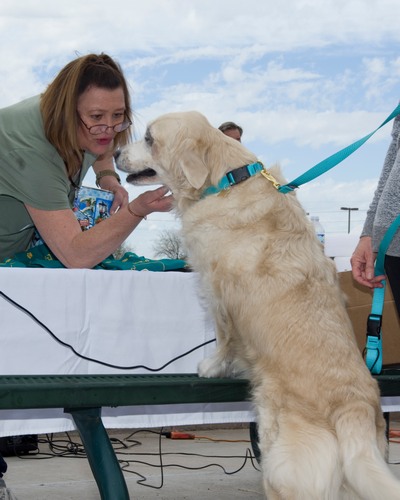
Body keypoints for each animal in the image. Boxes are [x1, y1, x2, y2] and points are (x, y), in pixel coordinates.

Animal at [116, 110, 400, 499]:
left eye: (149, 138)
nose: (115, 153)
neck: (225, 180)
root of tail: (352, 407)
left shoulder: (218, 292)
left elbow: (223, 339)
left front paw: (213, 367)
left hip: (280, 464)